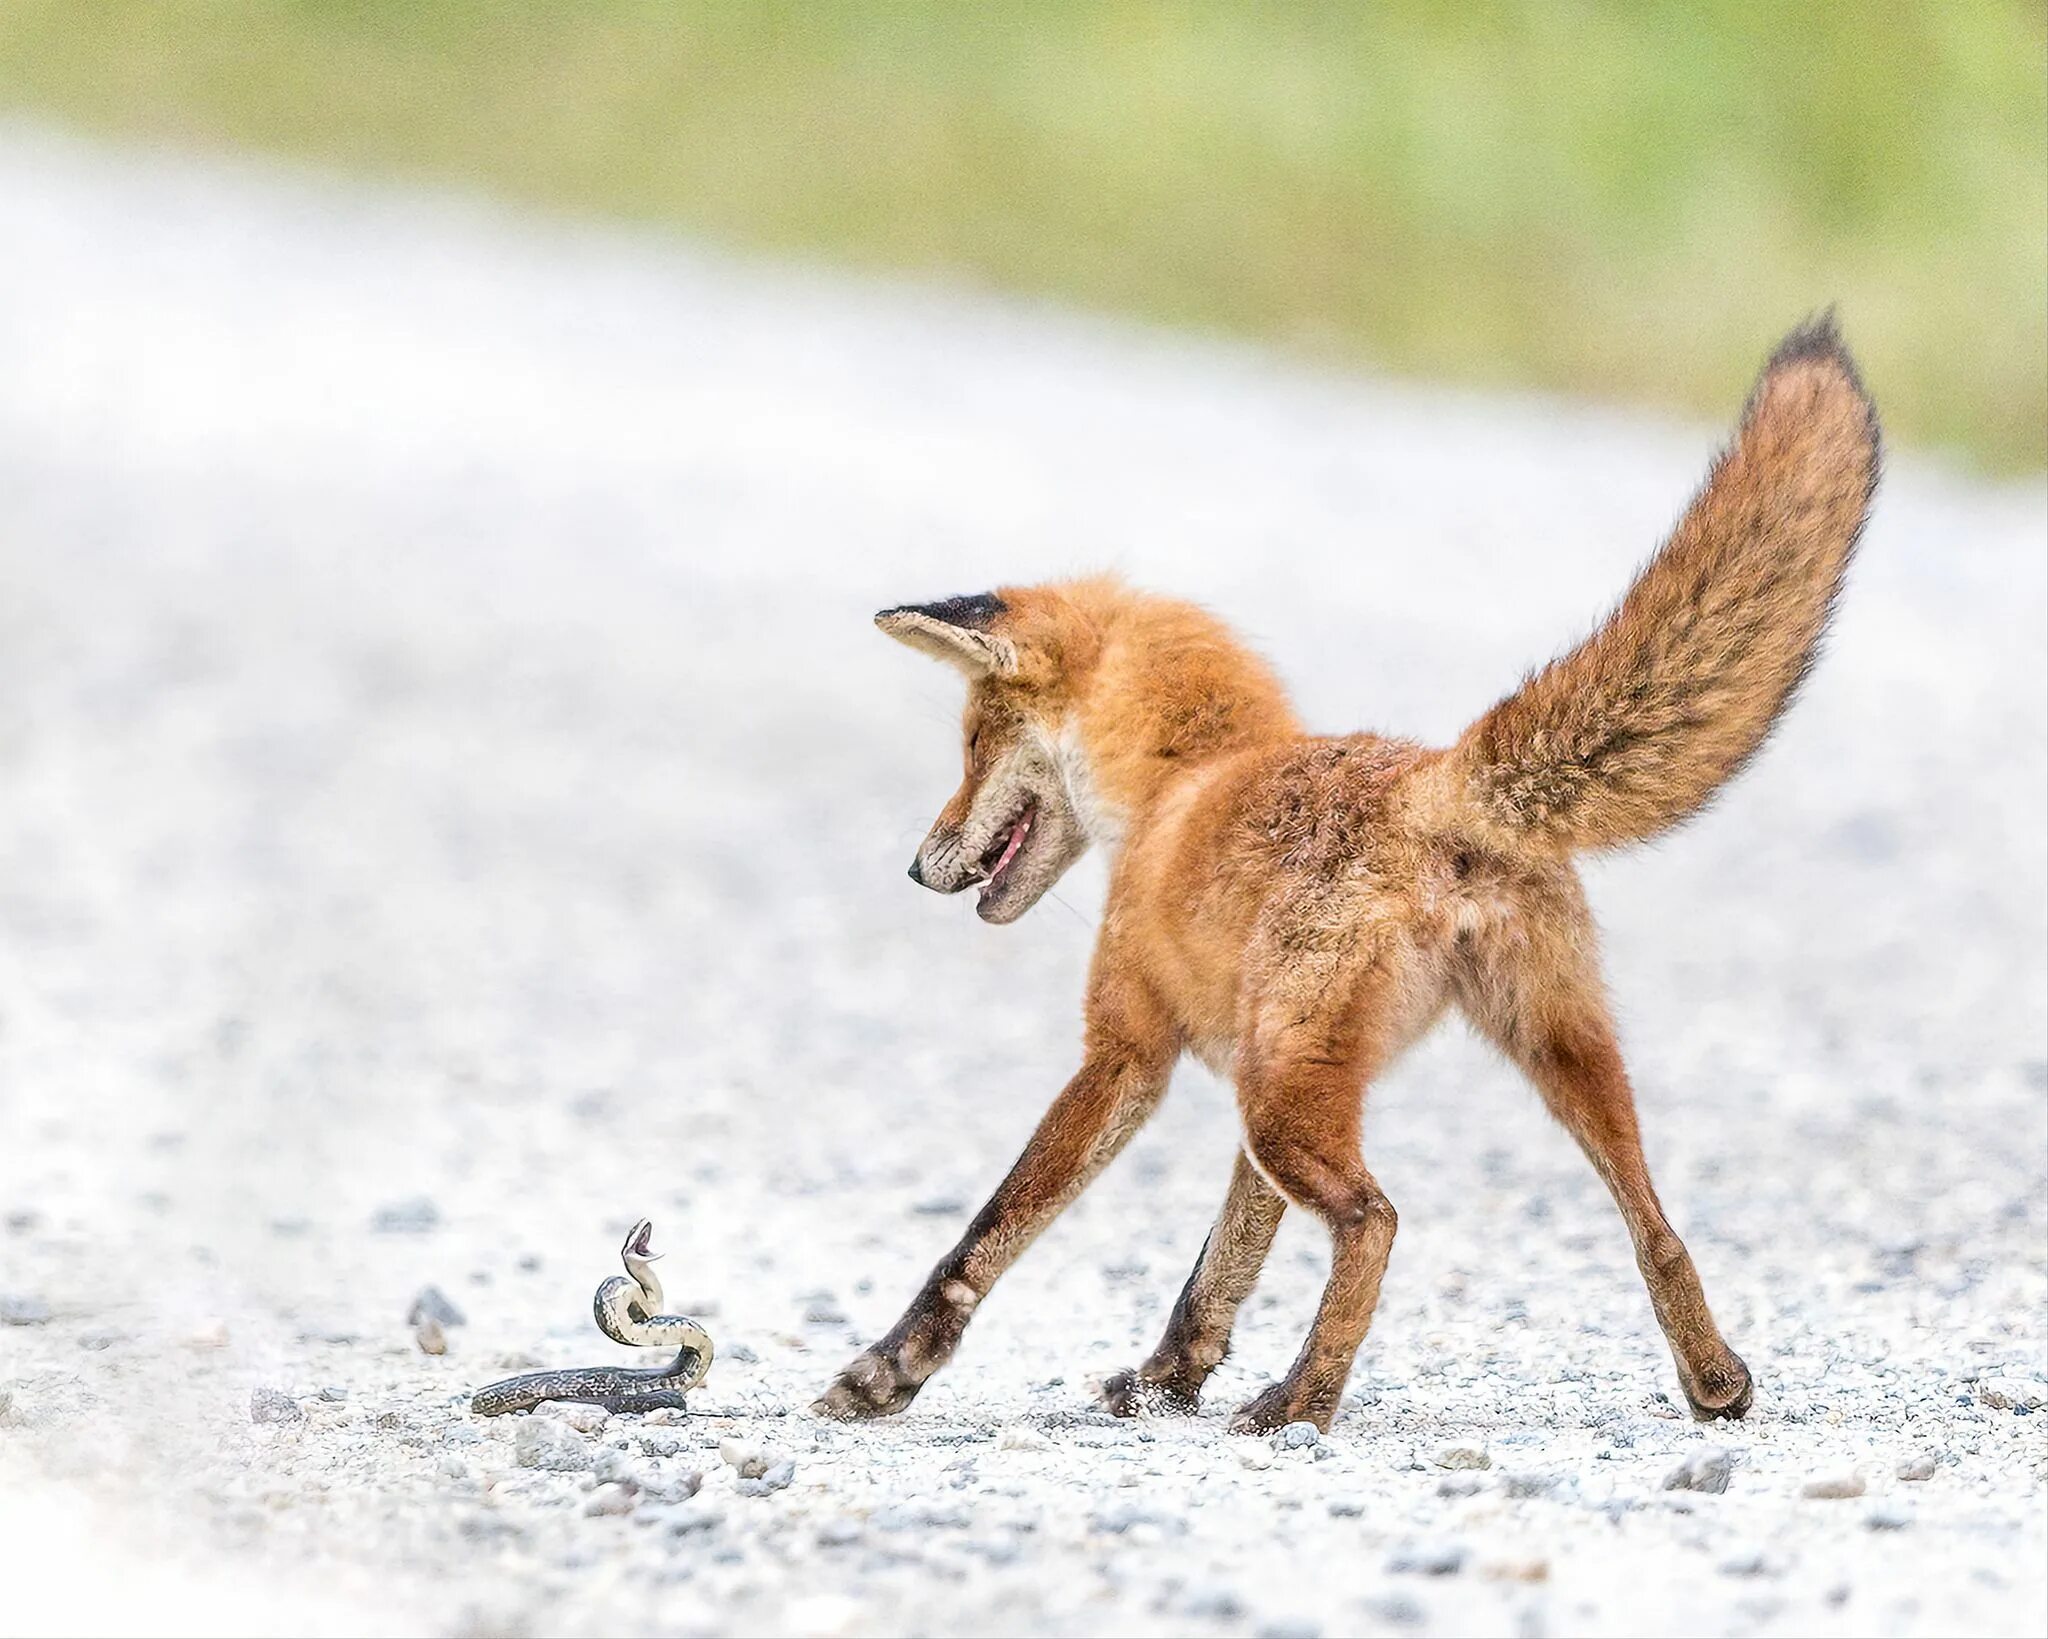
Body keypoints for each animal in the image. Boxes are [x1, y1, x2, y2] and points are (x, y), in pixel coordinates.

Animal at [811, 313, 1875, 1425]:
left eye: (974, 741)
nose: (915, 865)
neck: (1182, 779)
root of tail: (1434, 785)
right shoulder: (1239, 1089)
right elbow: (1218, 1270)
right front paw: (1167, 1379)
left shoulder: (1127, 1054)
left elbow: (994, 1225)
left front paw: (889, 1368)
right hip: (1552, 1053)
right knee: (1654, 1227)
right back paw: (1714, 1381)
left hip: (1287, 1093)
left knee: (1375, 1218)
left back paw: (1302, 1401)